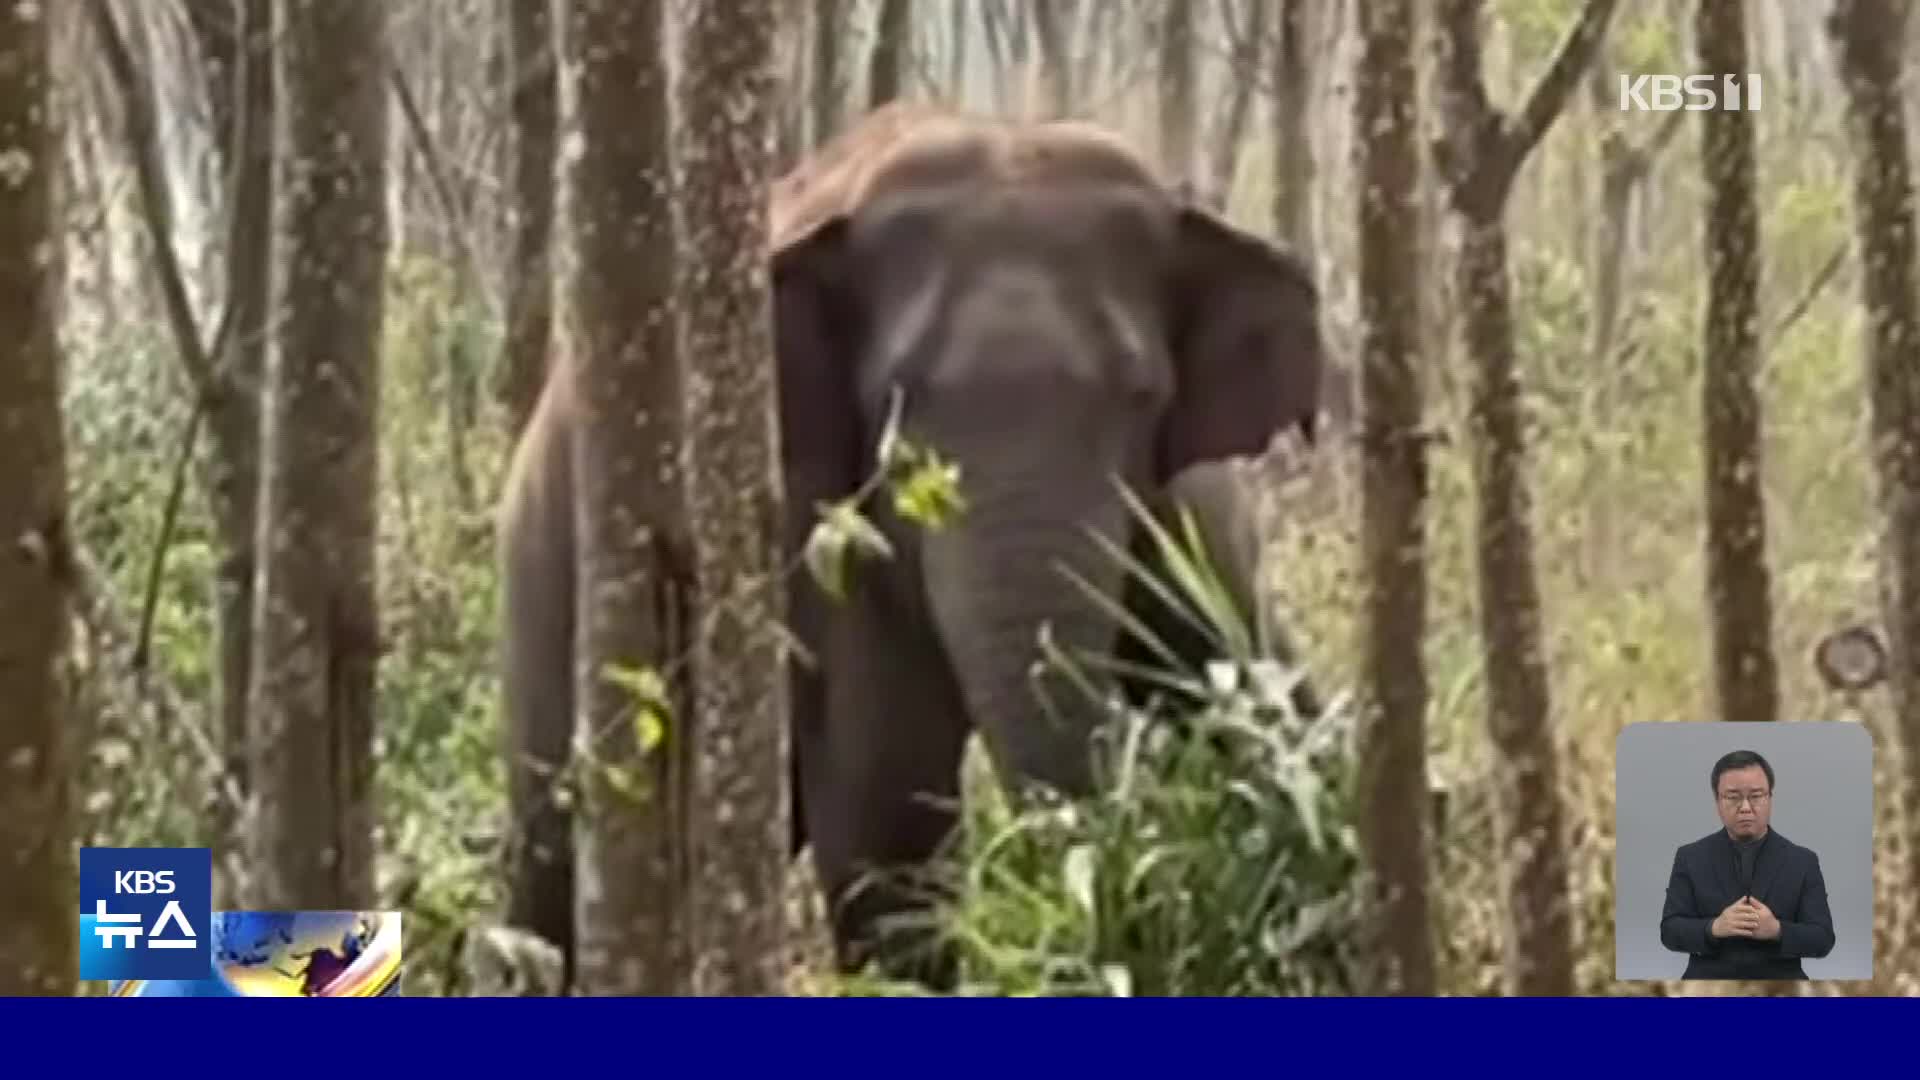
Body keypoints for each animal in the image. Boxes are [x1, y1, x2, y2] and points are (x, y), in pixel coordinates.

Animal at [495, 105, 1328, 991]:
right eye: (897, 401)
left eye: (1142, 396)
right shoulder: (815, 517)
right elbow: (887, 801)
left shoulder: (1190, 514)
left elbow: (1268, 695)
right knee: (557, 852)